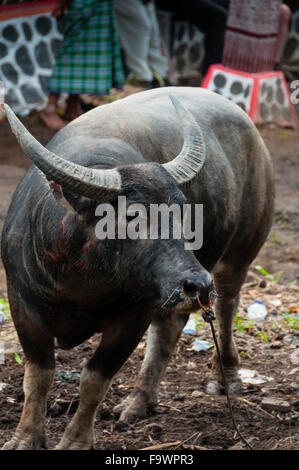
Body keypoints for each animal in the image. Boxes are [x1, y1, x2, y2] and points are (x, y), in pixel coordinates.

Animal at [1, 86, 276, 450]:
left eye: (182, 211)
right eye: (131, 215)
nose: (197, 284)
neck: (82, 280)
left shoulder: (132, 316)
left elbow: (94, 380)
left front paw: (76, 440)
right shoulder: (22, 306)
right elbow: (38, 377)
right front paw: (26, 437)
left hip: (239, 255)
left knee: (226, 306)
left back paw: (225, 377)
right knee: (168, 328)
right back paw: (139, 402)